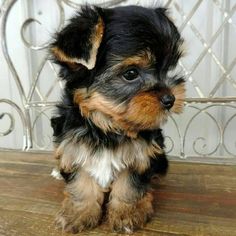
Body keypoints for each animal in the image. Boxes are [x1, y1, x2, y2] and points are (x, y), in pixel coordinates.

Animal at [50, 4, 185, 233]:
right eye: (131, 73)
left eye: (168, 68)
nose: (170, 99)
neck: (106, 126)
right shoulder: (73, 146)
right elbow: (81, 182)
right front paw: (78, 213)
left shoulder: (141, 154)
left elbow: (130, 184)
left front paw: (127, 213)